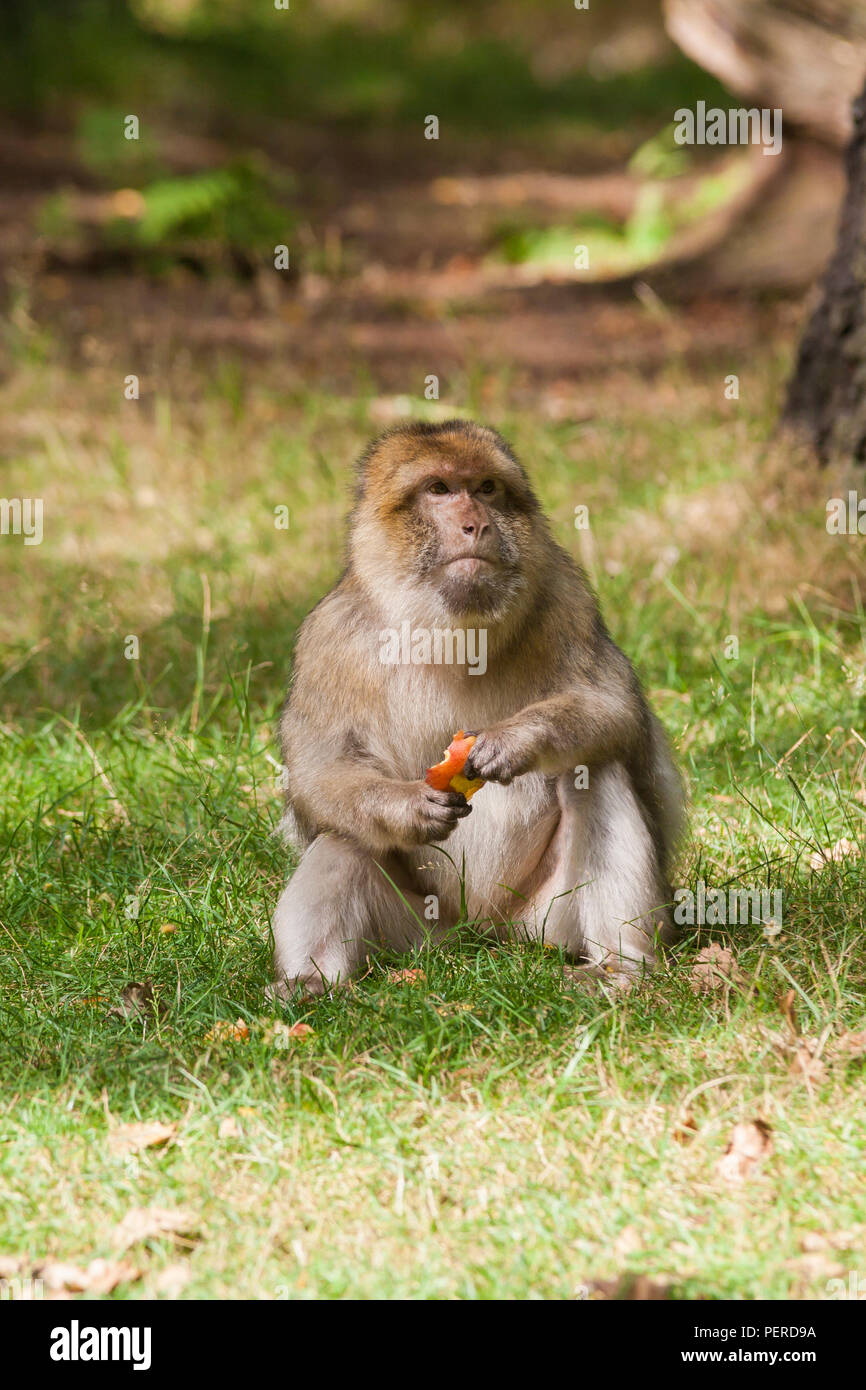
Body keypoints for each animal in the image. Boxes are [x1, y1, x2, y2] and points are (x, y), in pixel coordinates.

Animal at [271, 419, 683, 996]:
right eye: (440, 489)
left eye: (486, 488)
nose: (477, 524)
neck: (451, 631)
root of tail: (482, 932)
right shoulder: (327, 640)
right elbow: (320, 774)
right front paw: (406, 807)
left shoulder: (567, 598)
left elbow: (614, 706)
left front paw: (514, 740)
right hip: (417, 932)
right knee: (345, 833)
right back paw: (310, 981)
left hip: (542, 919)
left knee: (594, 767)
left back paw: (620, 967)